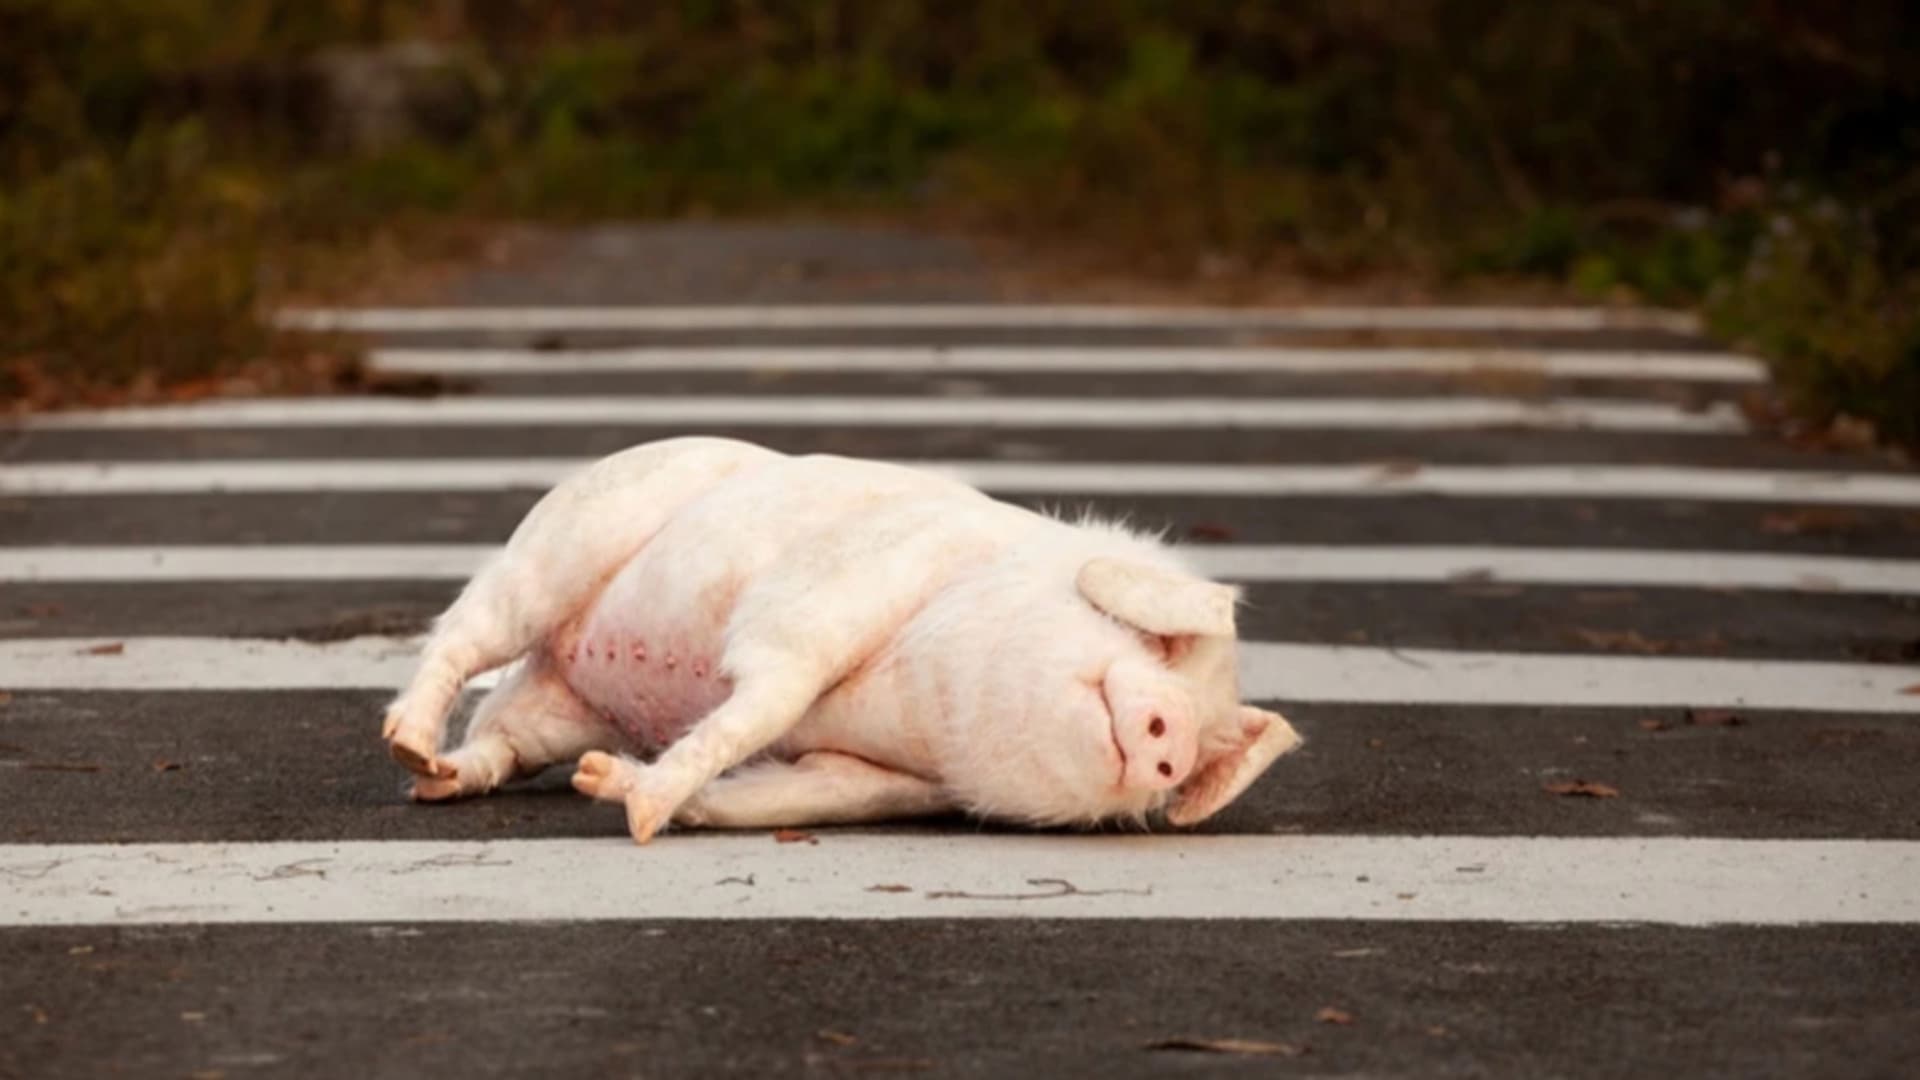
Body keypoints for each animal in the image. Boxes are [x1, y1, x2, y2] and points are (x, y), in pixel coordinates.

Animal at [381, 437, 1301, 843]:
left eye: (1213, 735)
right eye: (1163, 646)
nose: (1174, 738)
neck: (925, 703)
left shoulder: (888, 782)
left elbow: (786, 794)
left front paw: (610, 788)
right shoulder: (830, 598)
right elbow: (763, 698)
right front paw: (641, 818)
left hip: (557, 705)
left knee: (502, 742)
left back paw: (437, 780)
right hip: (559, 545)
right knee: (462, 635)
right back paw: (407, 744)